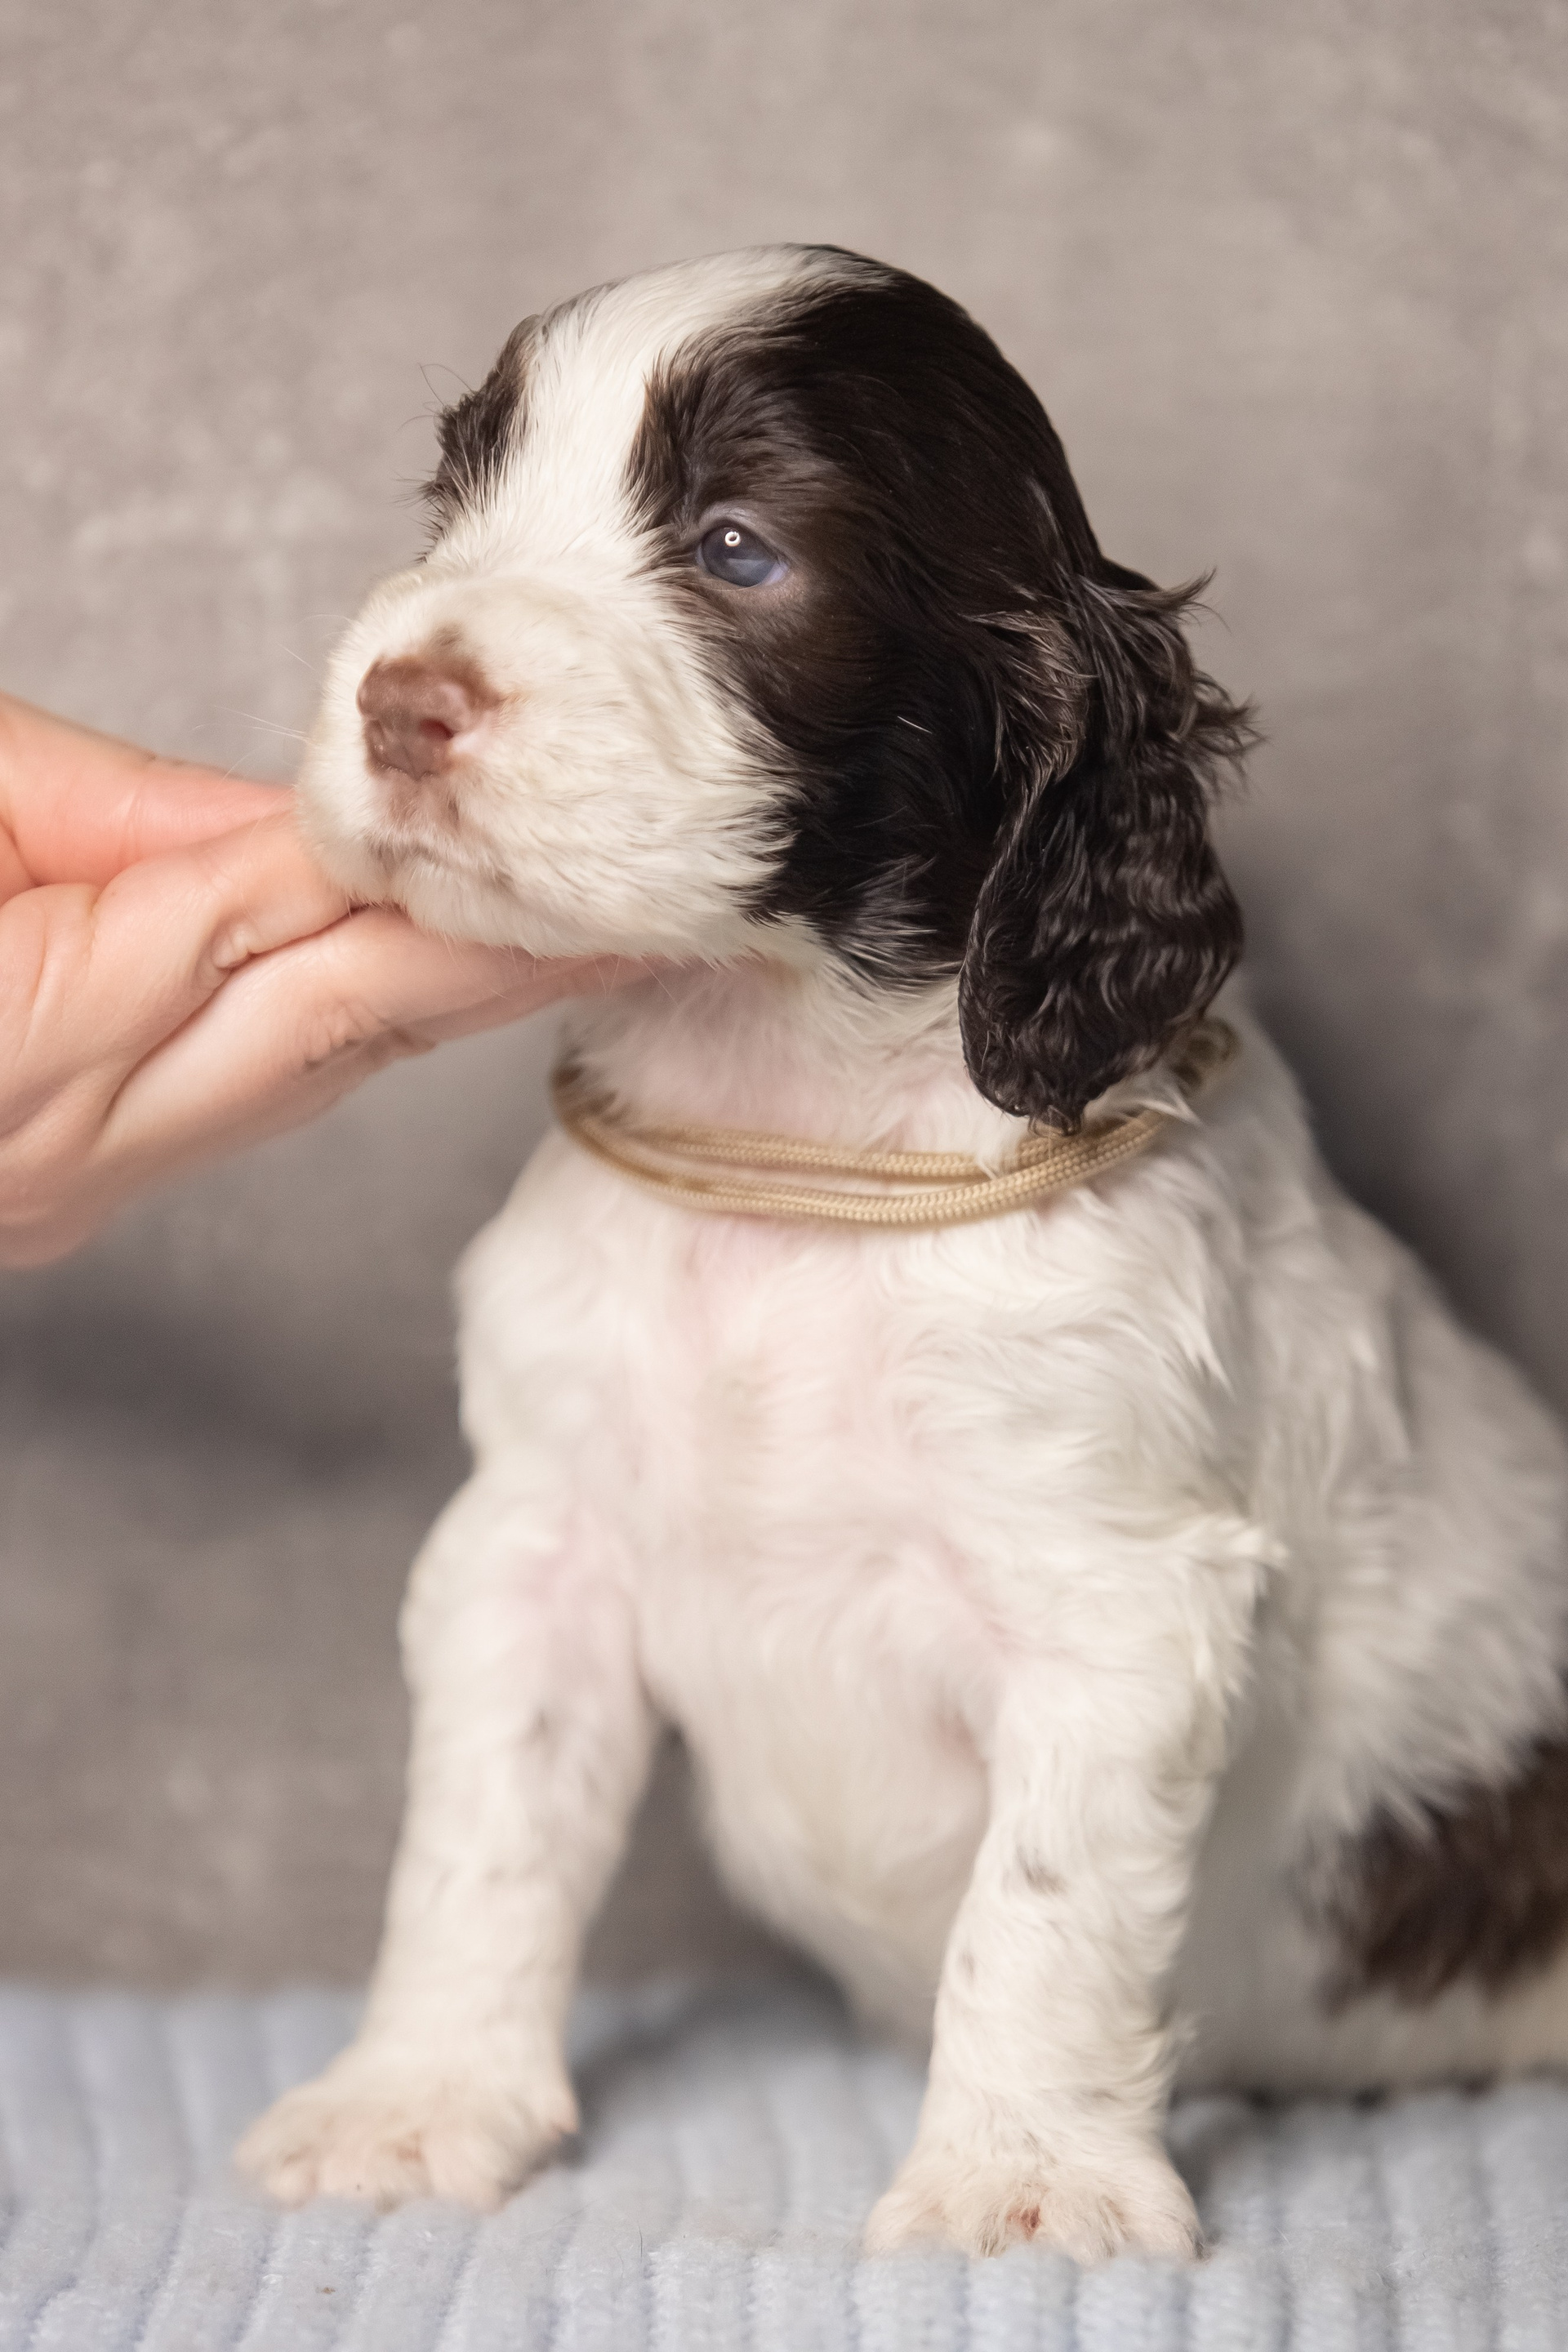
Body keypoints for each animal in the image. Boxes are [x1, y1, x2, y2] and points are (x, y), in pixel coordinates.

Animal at [237, 245, 1568, 2262]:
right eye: (458, 497)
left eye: (737, 549)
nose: (404, 698)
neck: (791, 1131)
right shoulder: (533, 1548)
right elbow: (484, 1840)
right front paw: (414, 2104)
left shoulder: (1117, 1595)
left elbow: (1045, 1909)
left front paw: (1022, 2181)